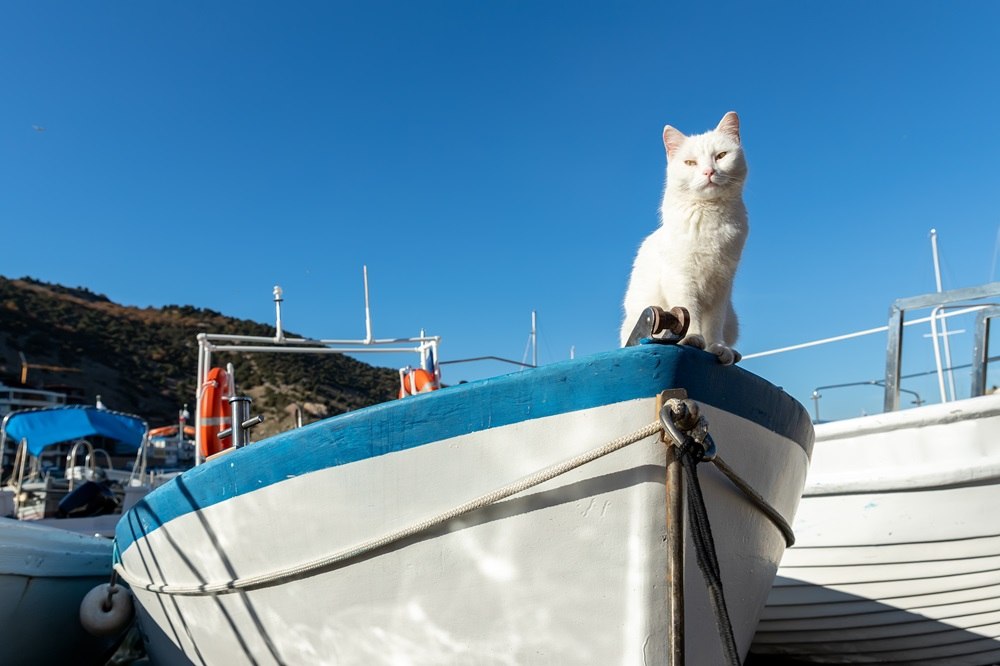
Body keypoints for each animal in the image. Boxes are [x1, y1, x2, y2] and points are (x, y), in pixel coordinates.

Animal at [616, 113, 752, 364]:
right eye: (690, 163)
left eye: (721, 156)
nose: (709, 172)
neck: (710, 215)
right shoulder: (681, 277)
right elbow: (689, 311)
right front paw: (693, 339)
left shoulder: (722, 284)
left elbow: (714, 324)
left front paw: (718, 347)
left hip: (732, 318)